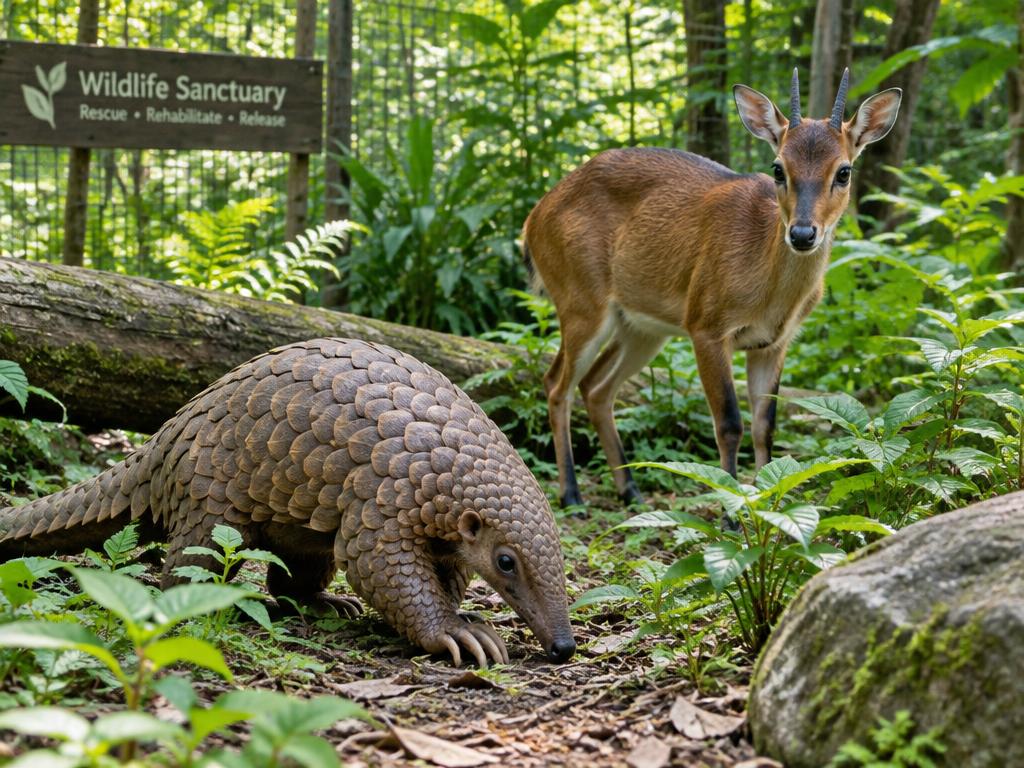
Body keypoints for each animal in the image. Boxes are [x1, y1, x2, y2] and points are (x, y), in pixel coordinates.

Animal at [523, 69, 902, 507]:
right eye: (778, 168)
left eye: (843, 171)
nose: (803, 233)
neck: (770, 294)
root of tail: (533, 219)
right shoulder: (706, 324)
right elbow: (729, 423)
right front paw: (730, 509)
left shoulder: (774, 343)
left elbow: (765, 426)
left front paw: (768, 501)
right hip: (580, 300)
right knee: (556, 384)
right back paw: (571, 493)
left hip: (641, 327)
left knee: (596, 387)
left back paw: (630, 490)